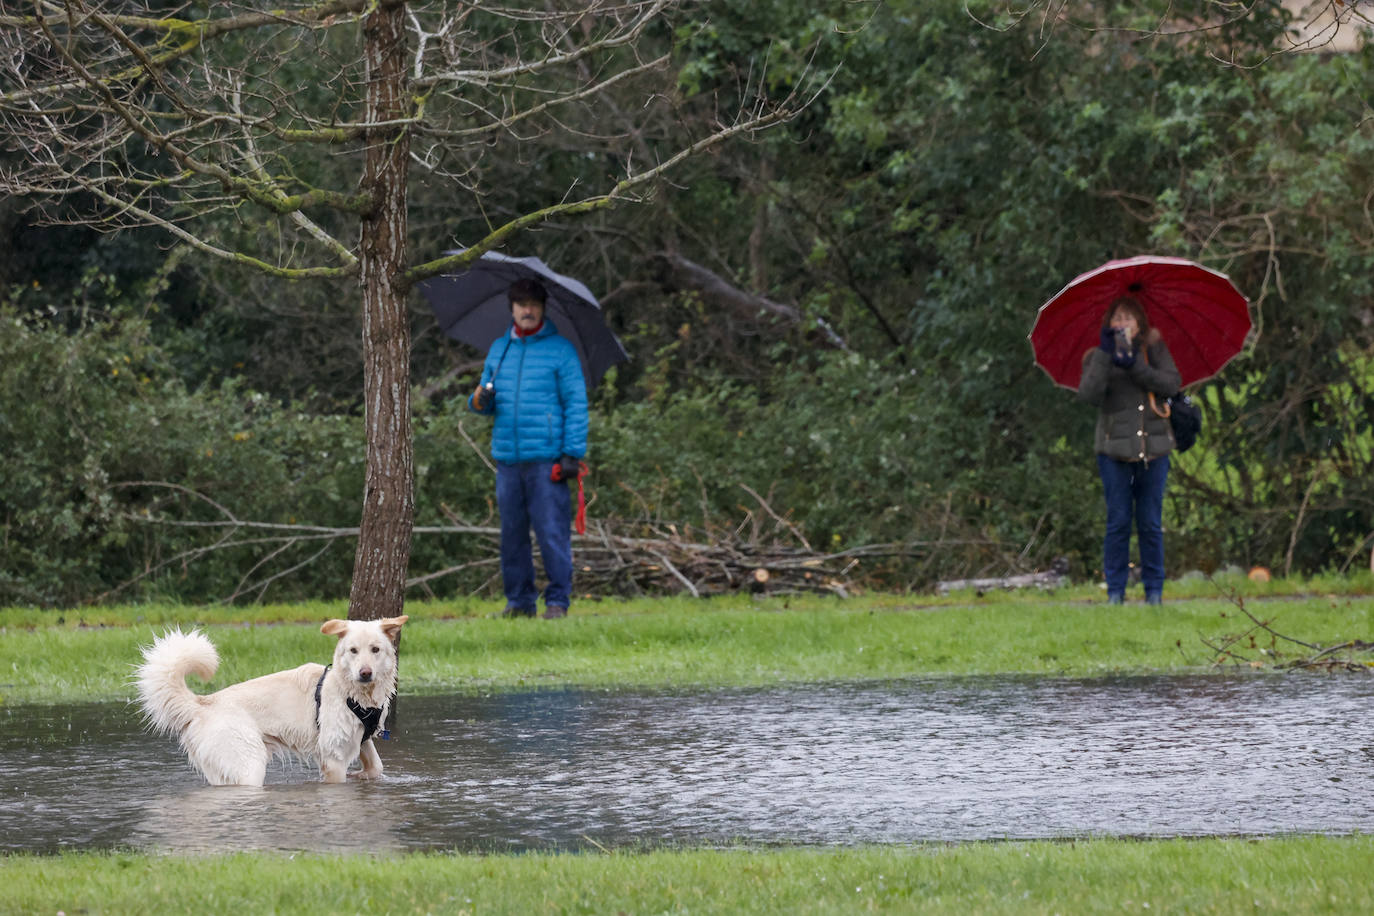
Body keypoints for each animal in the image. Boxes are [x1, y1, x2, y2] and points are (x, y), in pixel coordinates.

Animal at [136, 615, 409, 791]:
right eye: (353, 650)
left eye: (375, 649)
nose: (365, 673)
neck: (351, 693)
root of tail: (202, 703)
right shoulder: (334, 758)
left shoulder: (361, 739)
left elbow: (377, 767)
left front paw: (361, 775)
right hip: (248, 765)